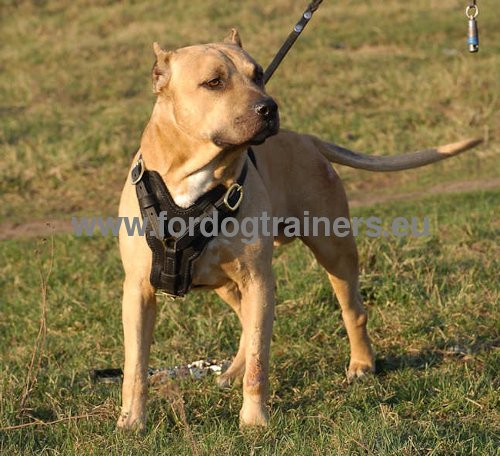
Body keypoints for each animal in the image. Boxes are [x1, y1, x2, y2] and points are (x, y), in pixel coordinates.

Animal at [116, 30, 480, 430]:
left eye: (258, 74)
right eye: (214, 82)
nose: (269, 108)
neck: (193, 177)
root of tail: (306, 139)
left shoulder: (258, 278)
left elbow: (260, 360)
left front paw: (254, 419)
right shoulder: (138, 291)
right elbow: (136, 366)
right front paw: (131, 421)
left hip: (334, 251)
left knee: (351, 310)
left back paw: (361, 363)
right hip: (224, 279)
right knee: (245, 321)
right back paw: (233, 370)